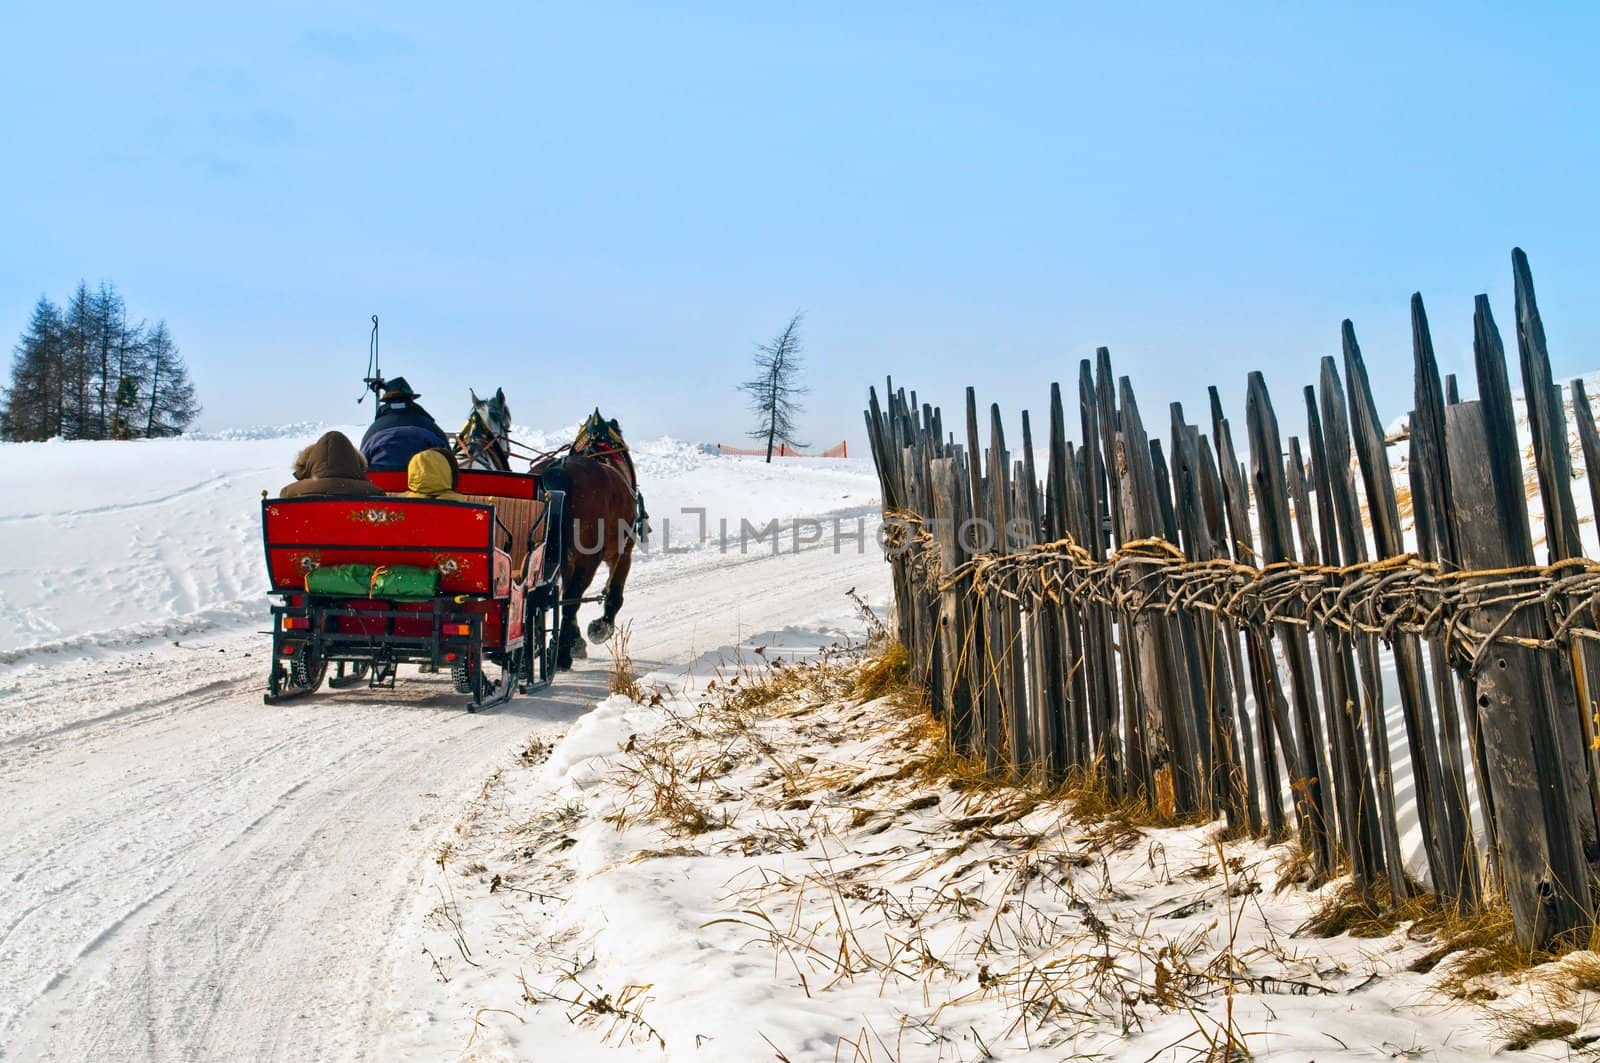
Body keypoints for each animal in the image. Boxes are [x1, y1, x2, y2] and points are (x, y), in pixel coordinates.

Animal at [531, 409, 643, 669]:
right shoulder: (623, 553)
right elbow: (614, 595)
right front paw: (601, 628)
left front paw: (576, 640)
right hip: (589, 558)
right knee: (571, 600)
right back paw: (562, 656)